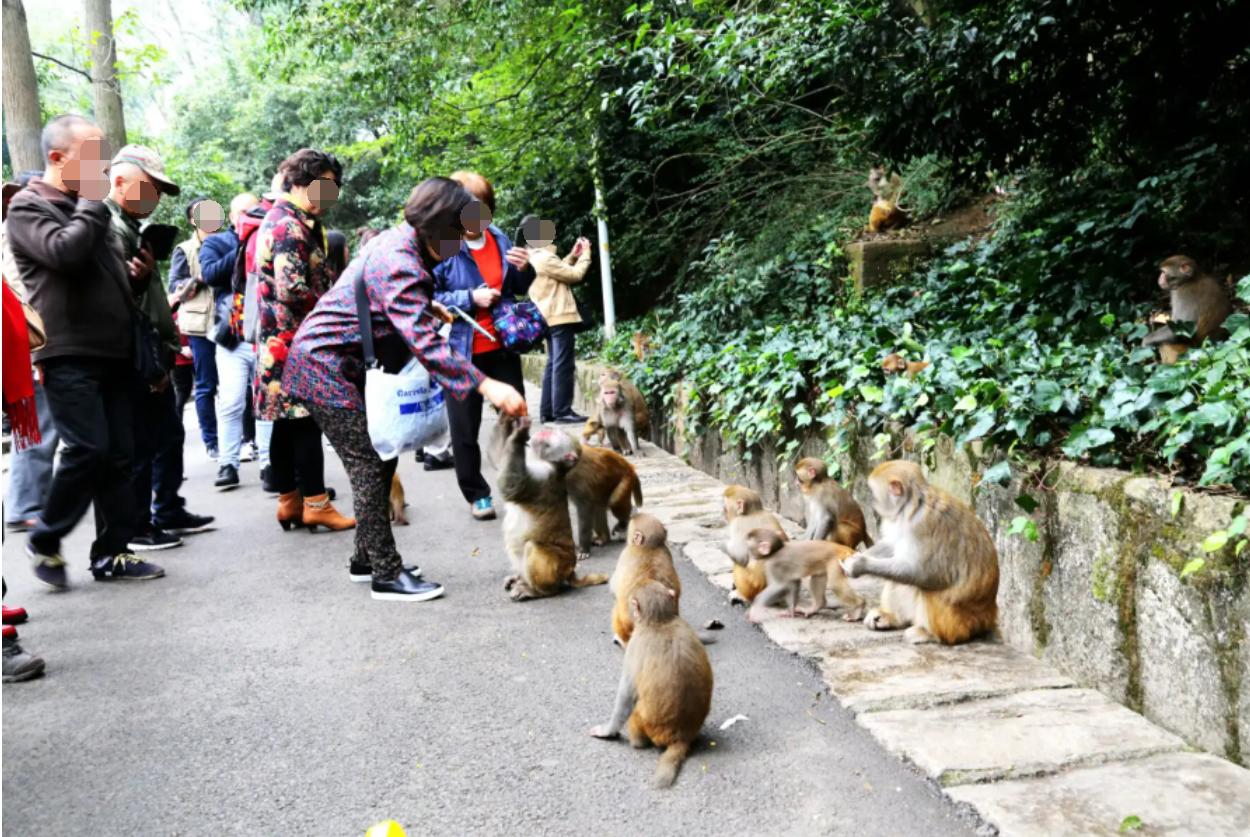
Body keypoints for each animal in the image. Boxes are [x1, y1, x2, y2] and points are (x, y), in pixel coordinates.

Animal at [495, 419, 607, 604]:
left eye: (557, 434)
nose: (547, 428)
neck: (545, 461)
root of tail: (570, 570)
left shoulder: (544, 476)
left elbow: (513, 485)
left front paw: (519, 436)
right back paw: (519, 578)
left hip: (556, 568)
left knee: (533, 548)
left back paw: (536, 591)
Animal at [587, 579, 715, 789]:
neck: (660, 621)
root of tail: (682, 736)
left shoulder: (635, 646)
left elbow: (625, 696)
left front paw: (607, 731)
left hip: (646, 723)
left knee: (633, 710)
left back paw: (637, 743)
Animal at [735, 532, 865, 622]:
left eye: (749, 547)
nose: (748, 555)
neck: (774, 552)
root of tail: (842, 548)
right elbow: (793, 582)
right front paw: (791, 611)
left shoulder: (772, 566)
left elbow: (779, 586)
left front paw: (754, 610)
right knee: (817, 578)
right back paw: (816, 607)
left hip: (836, 560)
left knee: (835, 584)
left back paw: (859, 607)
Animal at [835, 459, 1000, 649]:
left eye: (873, 493)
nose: (871, 504)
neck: (910, 505)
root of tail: (988, 614)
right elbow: (892, 545)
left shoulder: (922, 525)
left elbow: (925, 573)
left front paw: (858, 565)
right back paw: (892, 618)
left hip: (960, 623)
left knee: (928, 588)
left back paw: (930, 634)